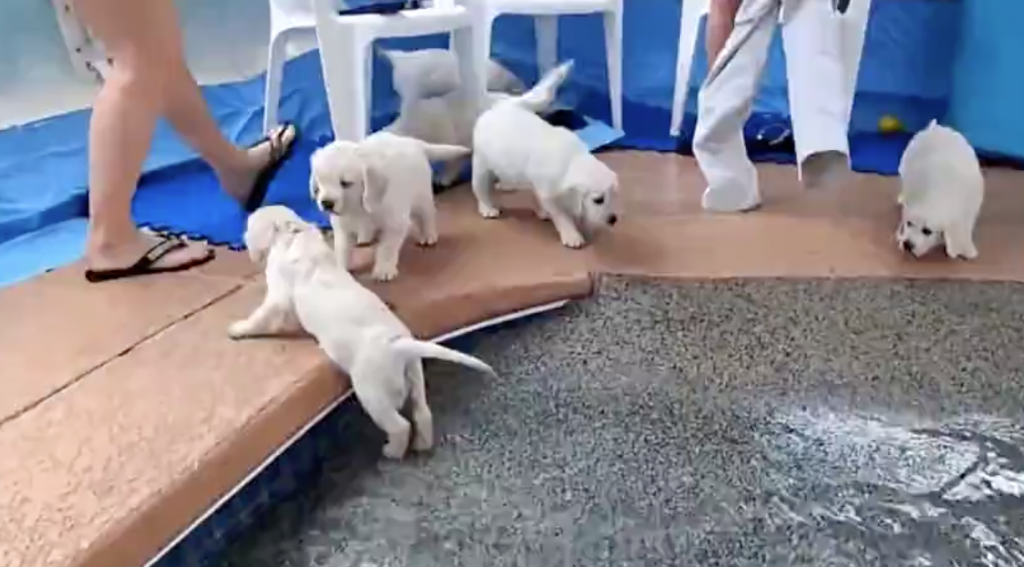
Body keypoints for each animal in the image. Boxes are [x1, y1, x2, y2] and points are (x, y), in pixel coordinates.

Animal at [229, 205, 499, 456]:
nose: (243, 241)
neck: (295, 232)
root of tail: (398, 344)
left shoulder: (278, 296)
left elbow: (262, 315)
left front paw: (238, 329)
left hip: (371, 392)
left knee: (400, 425)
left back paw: (391, 452)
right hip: (415, 376)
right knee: (422, 413)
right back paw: (421, 445)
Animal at [307, 131, 468, 280]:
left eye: (346, 183)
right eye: (320, 183)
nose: (326, 203)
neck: (359, 208)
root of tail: (414, 142)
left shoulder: (395, 224)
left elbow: (386, 248)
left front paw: (384, 269)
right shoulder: (342, 229)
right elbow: (342, 249)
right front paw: (340, 270)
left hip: (421, 196)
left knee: (427, 215)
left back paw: (428, 235)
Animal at [468, 60, 618, 248]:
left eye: (614, 195)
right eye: (598, 200)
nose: (613, 219)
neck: (571, 160)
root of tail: (505, 104)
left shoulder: (542, 185)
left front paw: (545, 213)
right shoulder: (549, 194)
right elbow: (562, 216)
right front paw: (571, 235)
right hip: (481, 164)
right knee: (480, 188)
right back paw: (487, 208)